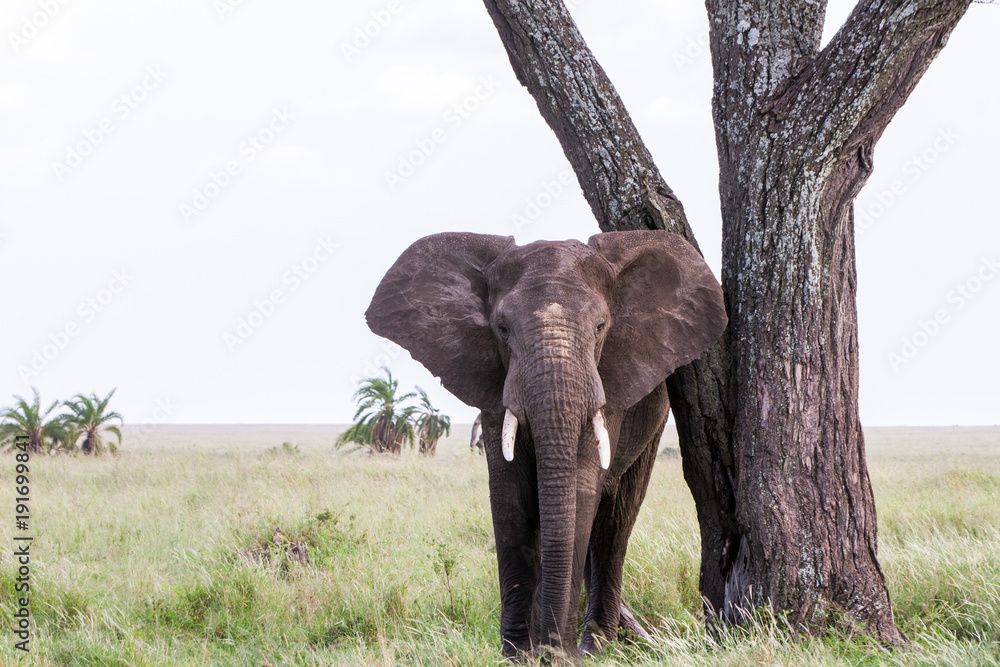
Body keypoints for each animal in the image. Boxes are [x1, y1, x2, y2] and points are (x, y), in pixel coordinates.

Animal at [365, 230, 727, 659]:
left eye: (601, 326)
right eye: (502, 328)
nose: (549, 650)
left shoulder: (609, 380)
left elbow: (581, 489)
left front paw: (558, 657)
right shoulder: (494, 383)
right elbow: (509, 493)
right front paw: (517, 654)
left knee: (615, 520)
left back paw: (595, 646)